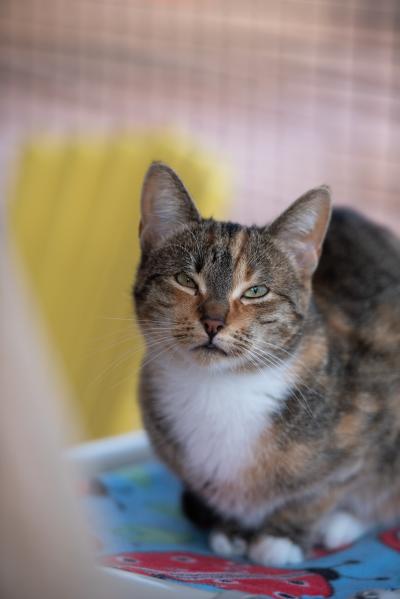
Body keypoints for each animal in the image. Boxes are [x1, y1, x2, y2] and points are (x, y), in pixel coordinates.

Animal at [134, 161, 400, 568]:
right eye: (185, 280)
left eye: (256, 291)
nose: (213, 322)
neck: (219, 390)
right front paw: (230, 528)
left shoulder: (375, 419)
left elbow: (327, 489)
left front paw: (283, 537)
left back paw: (338, 526)